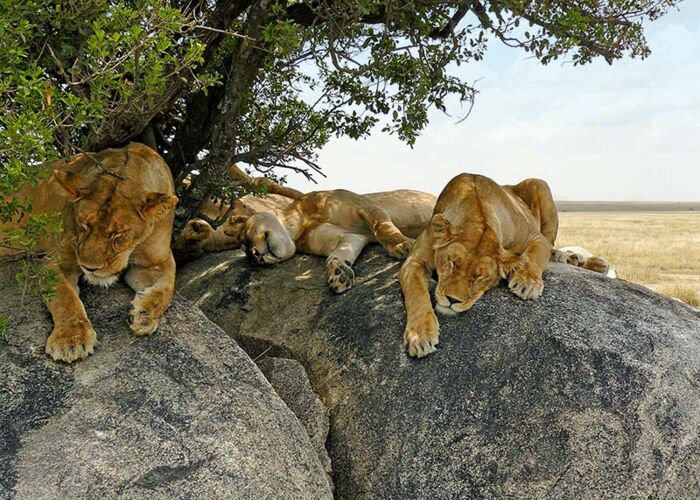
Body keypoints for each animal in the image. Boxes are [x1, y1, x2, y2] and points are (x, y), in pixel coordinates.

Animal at [1, 143, 178, 363]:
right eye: (83, 225)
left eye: (117, 235)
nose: (89, 268)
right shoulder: (58, 260)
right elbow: (66, 300)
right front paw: (71, 339)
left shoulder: (158, 262)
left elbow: (167, 289)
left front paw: (144, 316)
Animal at [400, 173, 590, 358]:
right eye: (452, 263)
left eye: (480, 277)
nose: (452, 300)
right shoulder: (414, 261)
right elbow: (416, 292)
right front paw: (420, 335)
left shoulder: (535, 237)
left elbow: (536, 255)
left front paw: (527, 282)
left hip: (539, 184)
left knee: (551, 245)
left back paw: (569, 257)